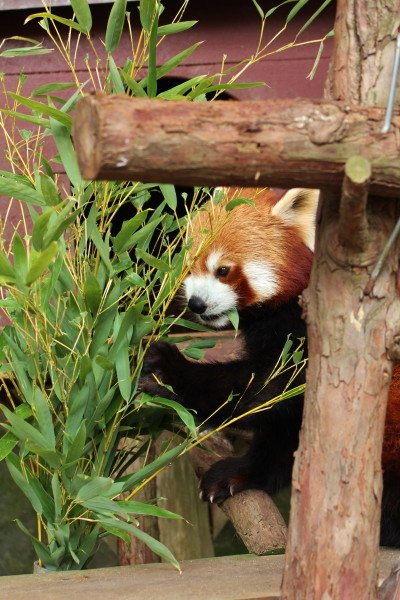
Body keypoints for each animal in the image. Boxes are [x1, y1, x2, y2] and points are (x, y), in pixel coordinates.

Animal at [140, 188, 400, 548]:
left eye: (223, 270)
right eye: (190, 266)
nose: (197, 304)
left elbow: (269, 386)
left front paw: (170, 371)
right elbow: (281, 414)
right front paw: (244, 471)